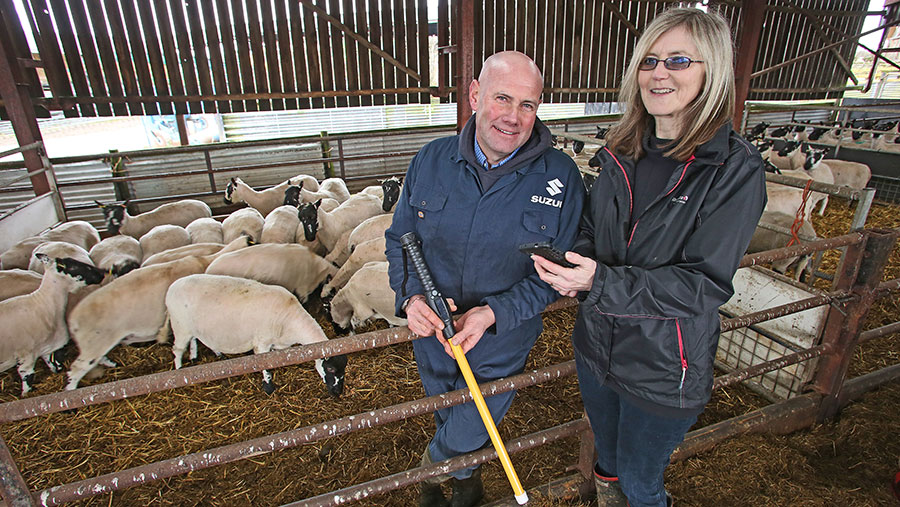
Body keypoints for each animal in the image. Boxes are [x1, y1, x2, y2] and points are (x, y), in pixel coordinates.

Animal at [66, 234, 253, 388]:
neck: (206, 261)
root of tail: (72, 319)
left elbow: (194, 338)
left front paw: (195, 355)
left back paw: (112, 365)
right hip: (95, 343)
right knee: (76, 369)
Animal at [165, 274, 348, 396]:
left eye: (344, 367)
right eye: (330, 368)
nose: (337, 393)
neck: (290, 320)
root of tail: (172, 286)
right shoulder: (261, 343)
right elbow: (264, 364)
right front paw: (269, 387)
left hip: (191, 327)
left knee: (194, 339)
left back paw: (202, 356)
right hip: (180, 325)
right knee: (178, 349)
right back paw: (178, 372)